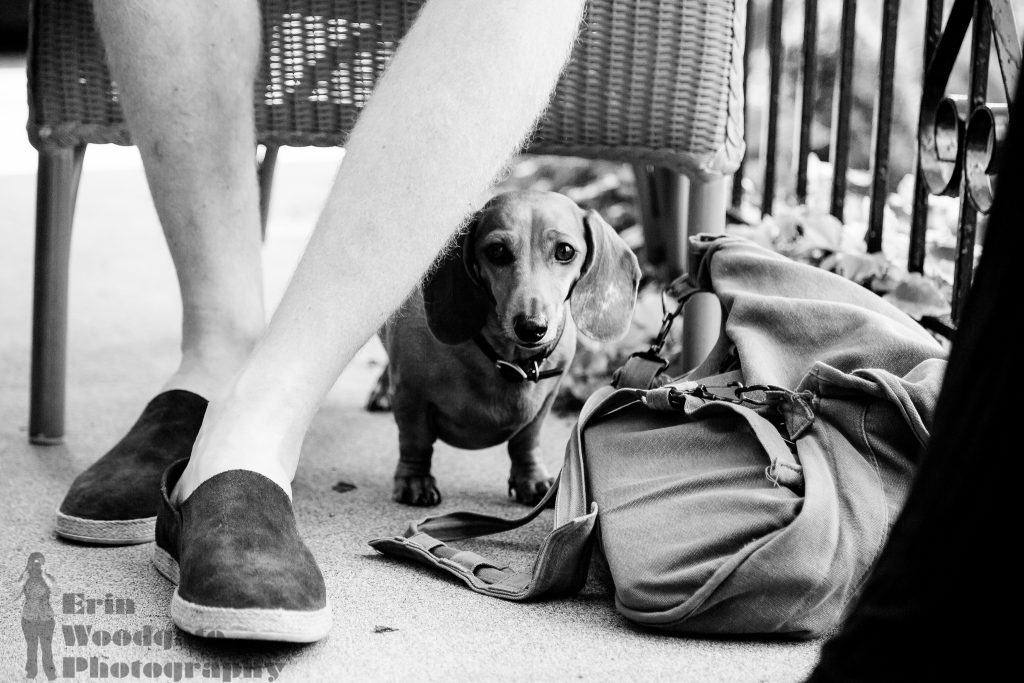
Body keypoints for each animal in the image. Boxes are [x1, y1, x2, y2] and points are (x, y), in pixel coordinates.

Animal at [380, 190, 641, 506]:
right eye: (497, 251)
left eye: (565, 251)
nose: (531, 327)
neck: (508, 360)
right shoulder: (410, 396)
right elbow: (415, 441)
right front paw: (414, 480)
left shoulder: (546, 400)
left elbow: (526, 440)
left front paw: (531, 479)